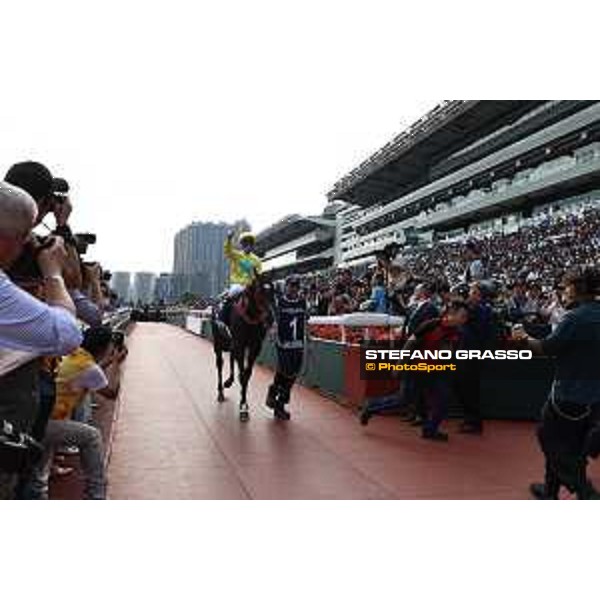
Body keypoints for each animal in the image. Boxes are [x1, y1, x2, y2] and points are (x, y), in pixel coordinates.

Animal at [211, 276, 274, 422]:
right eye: (259, 293)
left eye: (274, 294)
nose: (270, 319)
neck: (249, 319)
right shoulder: (239, 343)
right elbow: (242, 375)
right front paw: (243, 406)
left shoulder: (255, 347)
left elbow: (247, 374)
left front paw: (243, 403)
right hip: (218, 342)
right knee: (220, 364)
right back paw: (221, 392)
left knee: (232, 358)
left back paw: (229, 381)